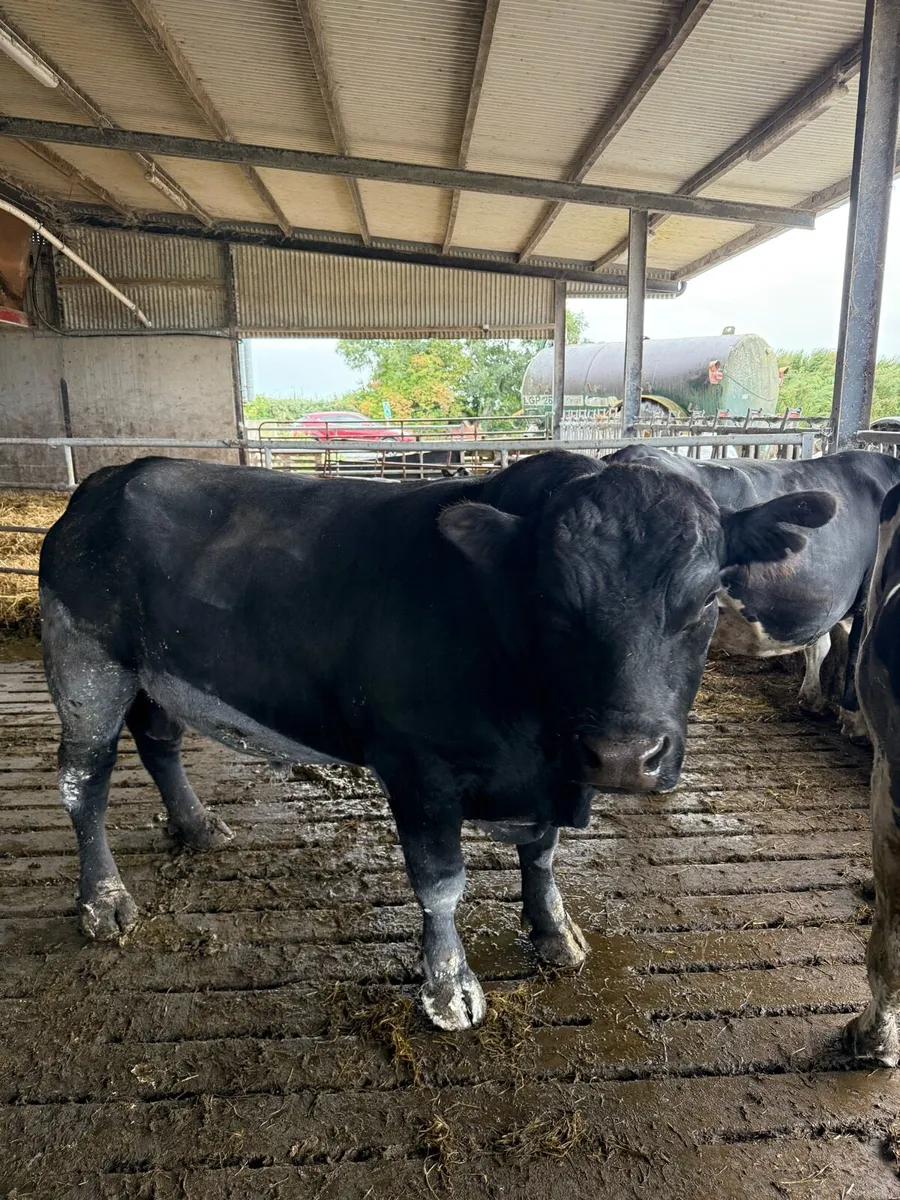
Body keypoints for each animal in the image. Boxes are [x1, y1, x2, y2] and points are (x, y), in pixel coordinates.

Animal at [39, 451, 834, 1029]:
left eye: (704, 601)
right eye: (553, 601)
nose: (620, 756)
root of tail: (110, 479)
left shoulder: (552, 769)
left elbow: (543, 854)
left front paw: (554, 934)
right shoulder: (416, 767)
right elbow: (441, 883)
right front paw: (450, 987)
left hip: (155, 674)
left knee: (159, 742)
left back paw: (198, 826)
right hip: (85, 666)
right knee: (85, 782)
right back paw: (103, 900)